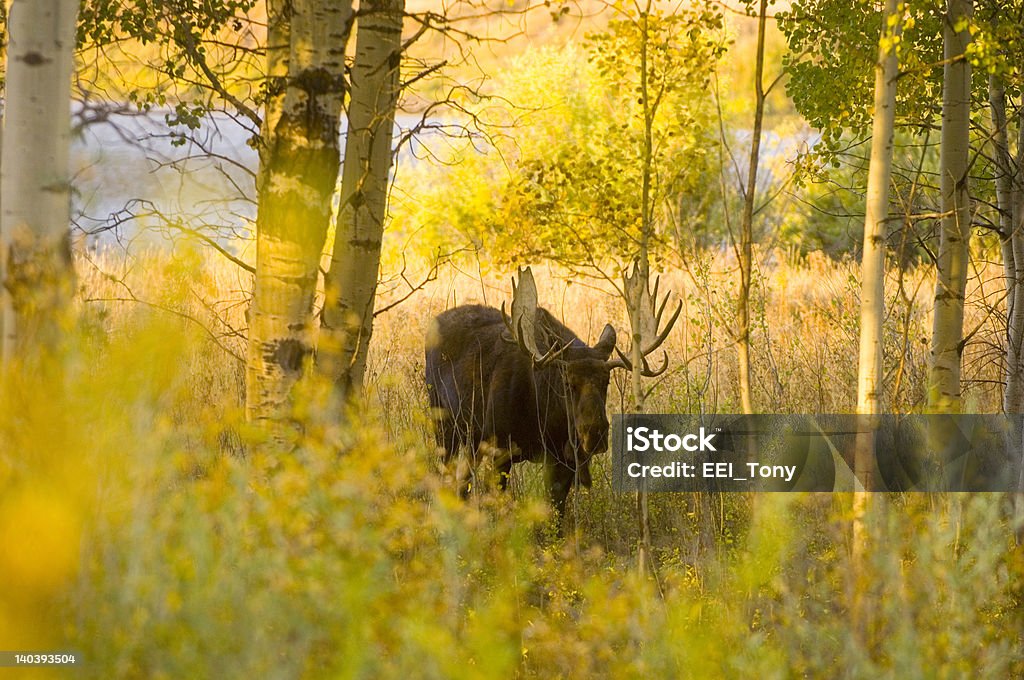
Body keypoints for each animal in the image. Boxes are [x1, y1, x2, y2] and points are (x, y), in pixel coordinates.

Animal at [423, 266, 671, 520]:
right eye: (567, 382)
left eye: (606, 381)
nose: (595, 434)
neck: (543, 412)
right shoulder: (500, 449)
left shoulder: (562, 458)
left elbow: (555, 512)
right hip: (443, 423)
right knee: (447, 475)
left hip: (472, 437)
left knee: (462, 482)